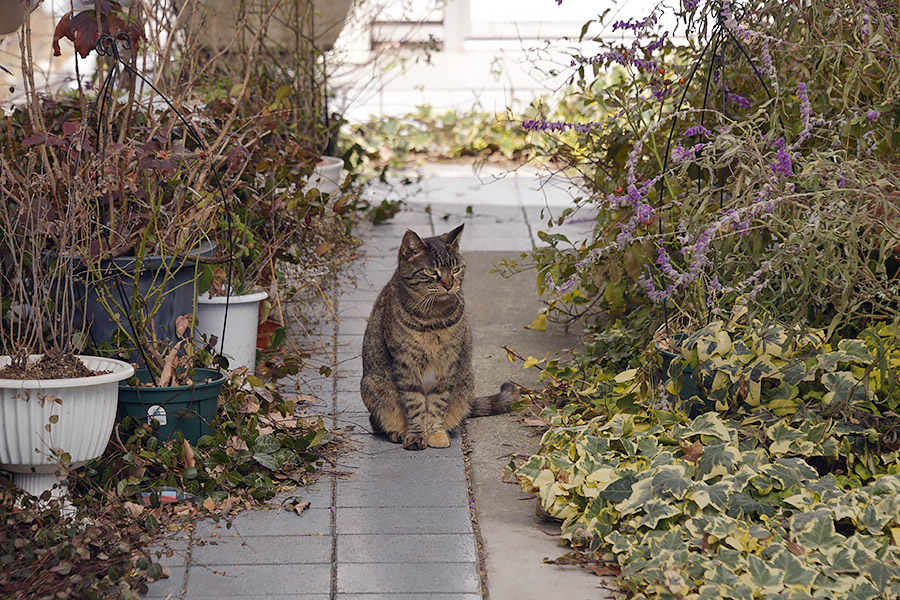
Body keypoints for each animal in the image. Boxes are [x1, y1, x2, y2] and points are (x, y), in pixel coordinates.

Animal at [360, 225, 516, 450]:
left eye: (455, 269)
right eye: (431, 271)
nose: (449, 285)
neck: (433, 317)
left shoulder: (447, 365)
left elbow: (437, 404)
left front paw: (436, 433)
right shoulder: (405, 364)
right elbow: (414, 404)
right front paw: (417, 435)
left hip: (466, 382)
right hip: (373, 386)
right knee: (377, 421)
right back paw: (398, 432)